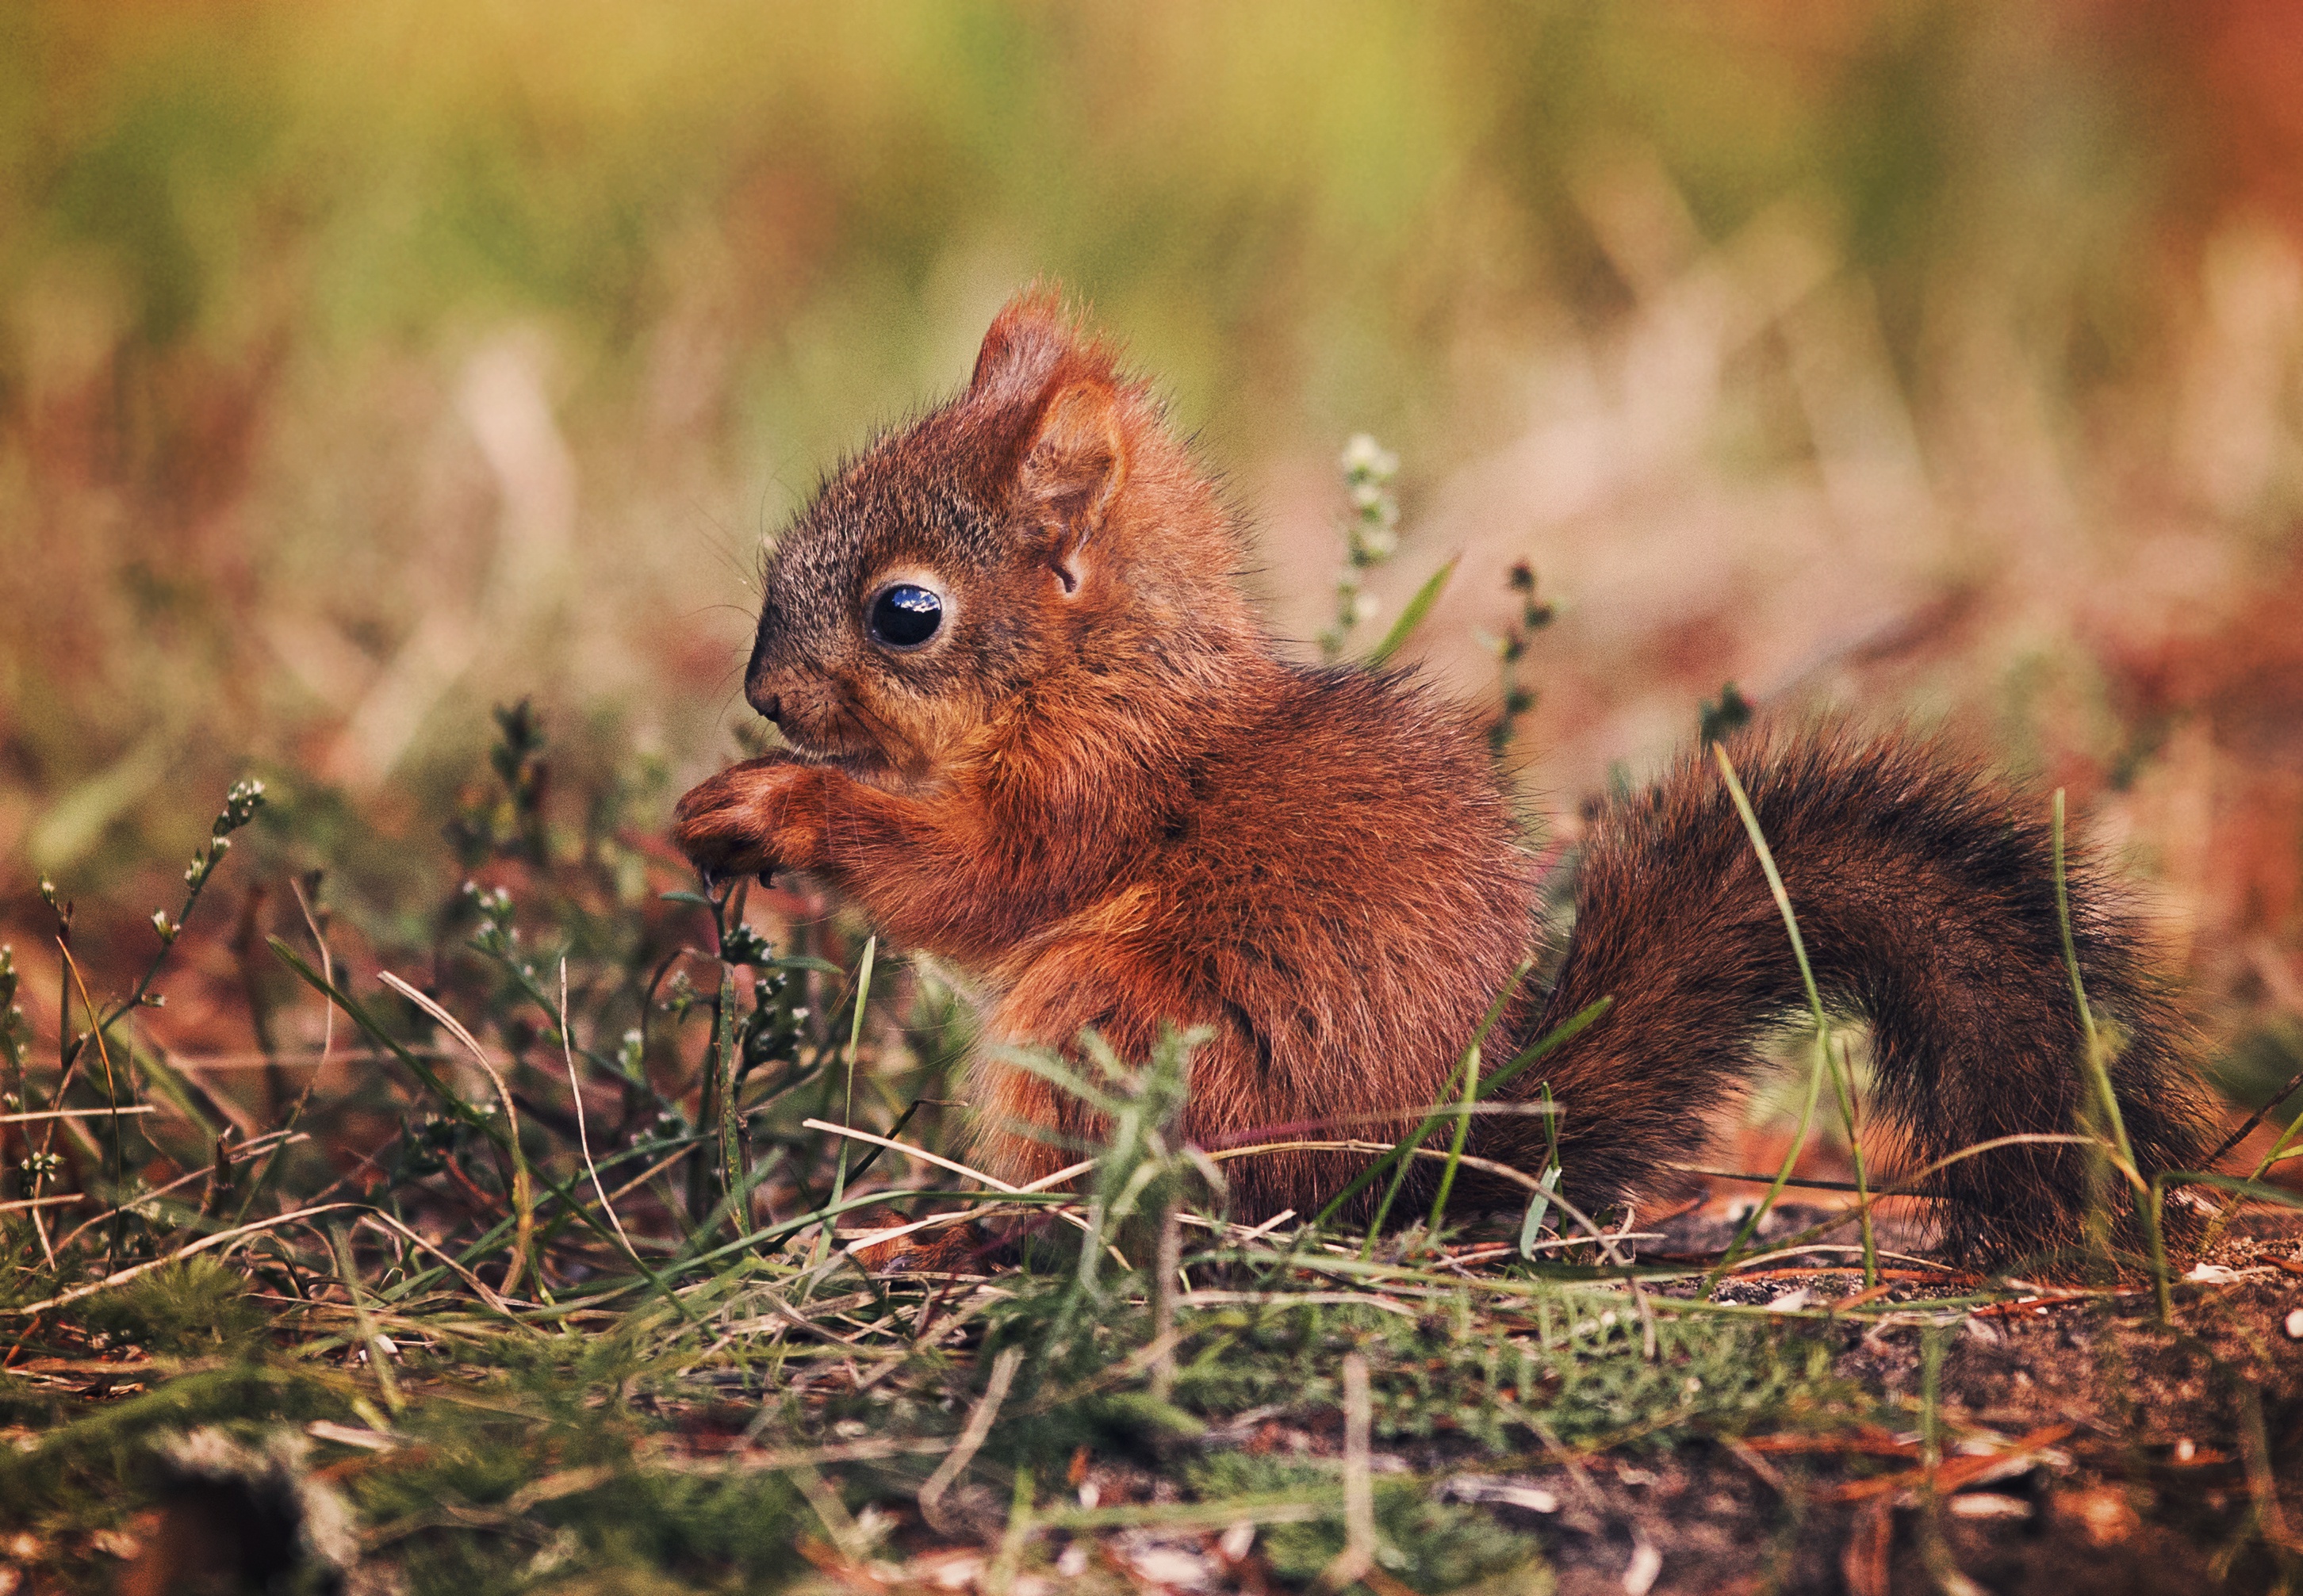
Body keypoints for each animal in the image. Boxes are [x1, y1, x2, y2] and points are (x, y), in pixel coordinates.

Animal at [672, 286, 2210, 1261]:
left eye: (905, 613)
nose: (763, 697)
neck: (1104, 671)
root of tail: (1415, 1162)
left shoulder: (1090, 792)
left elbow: (972, 877)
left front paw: (771, 807)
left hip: (1106, 1017)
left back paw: (986, 1230)